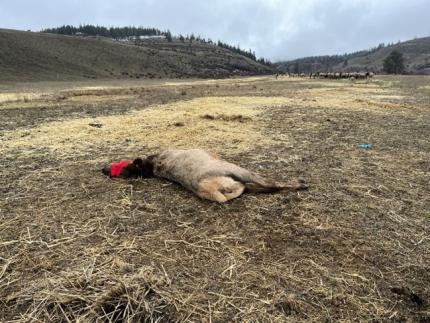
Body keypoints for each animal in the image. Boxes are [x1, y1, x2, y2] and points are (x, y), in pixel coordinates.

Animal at [102, 149, 308, 202]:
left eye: (121, 166)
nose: (103, 169)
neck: (152, 165)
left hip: (242, 184)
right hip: (240, 172)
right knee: (272, 184)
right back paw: (300, 182)